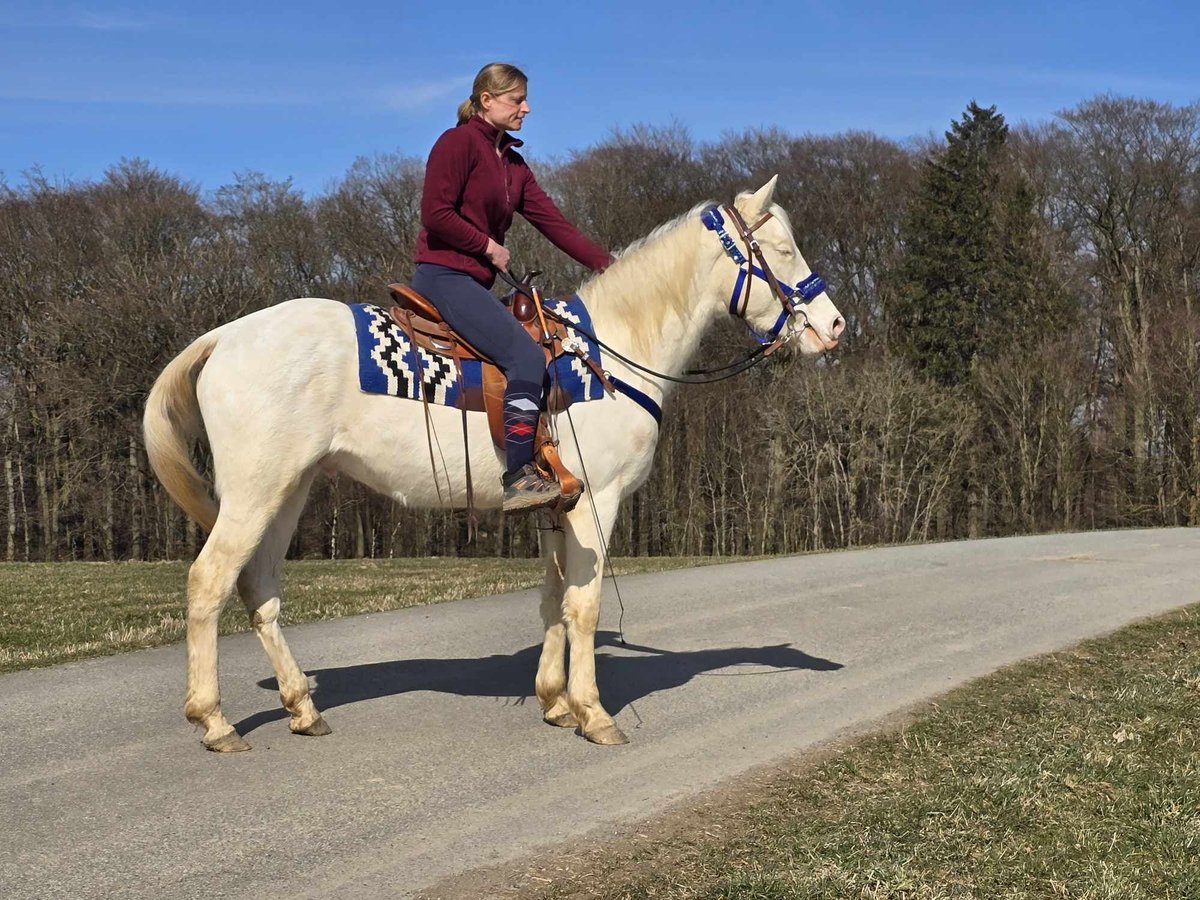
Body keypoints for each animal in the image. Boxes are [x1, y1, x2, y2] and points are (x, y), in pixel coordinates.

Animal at [142, 176, 844, 753]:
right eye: (781, 250)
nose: (834, 326)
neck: (609, 353)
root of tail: (225, 336)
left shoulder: (560, 507)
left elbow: (554, 600)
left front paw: (555, 701)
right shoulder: (598, 500)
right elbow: (584, 605)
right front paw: (593, 713)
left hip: (288, 491)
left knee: (259, 588)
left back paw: (302, 707)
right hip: (254, 492)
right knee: (208, 583)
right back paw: (214, 720)